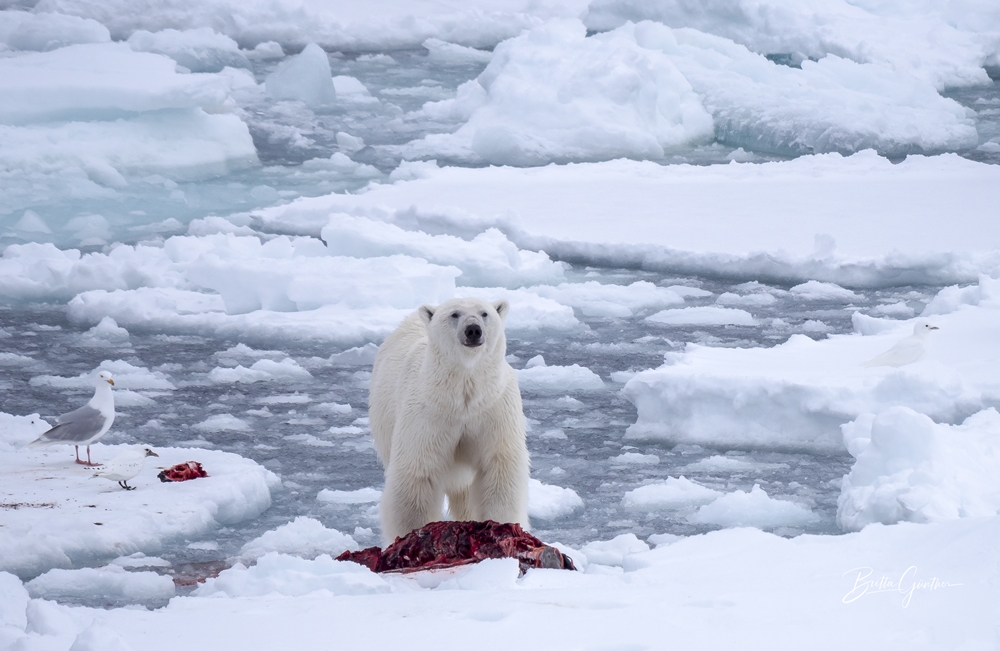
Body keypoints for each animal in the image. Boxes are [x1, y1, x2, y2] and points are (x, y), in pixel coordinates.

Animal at [370, 300, 532, 544]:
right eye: (455, 314)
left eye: (484, 313)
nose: (473, 330)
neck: (463, 397)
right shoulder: (429, 415)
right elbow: (417, 474)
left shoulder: (494, 410)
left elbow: (498, 469)